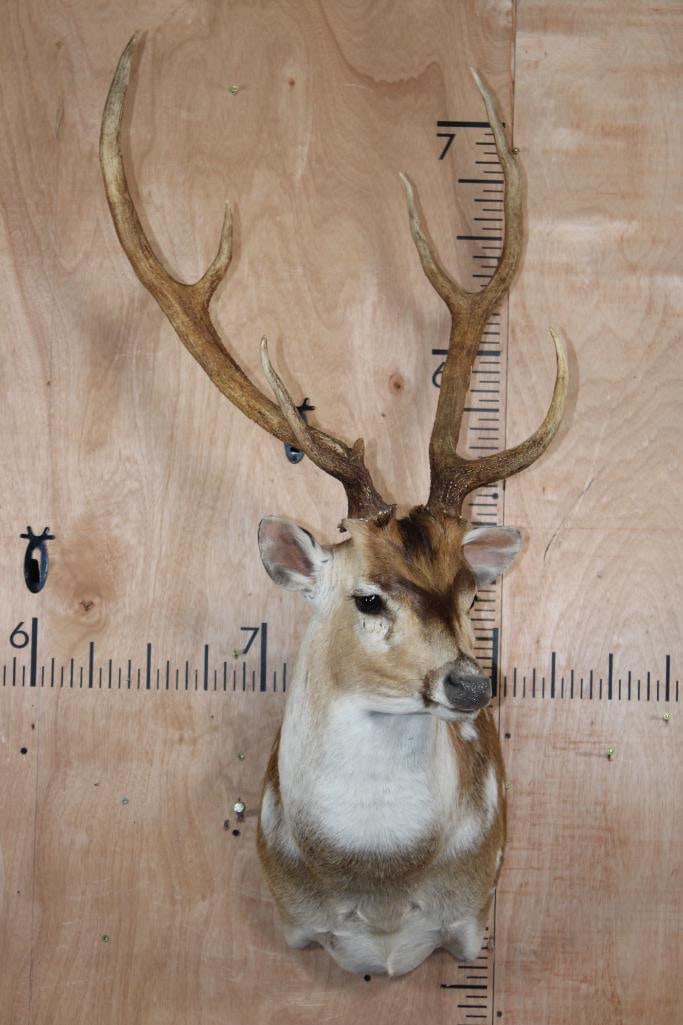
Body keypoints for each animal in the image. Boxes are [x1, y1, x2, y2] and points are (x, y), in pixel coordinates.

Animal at [100, 35, 567, 977]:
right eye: (368, 596)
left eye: (470, 594)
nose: (471, 682)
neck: (377, 888)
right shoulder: (291, 925)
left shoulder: (475, 916)